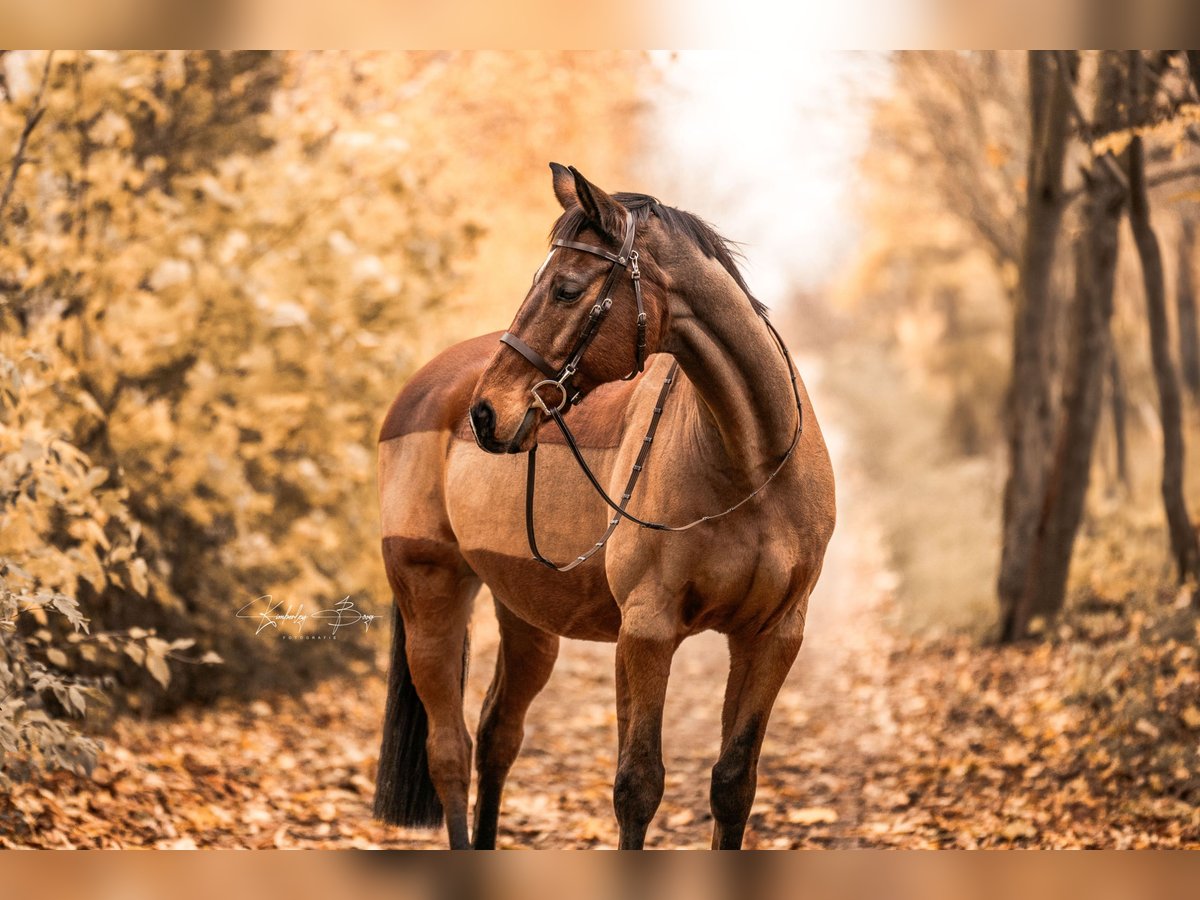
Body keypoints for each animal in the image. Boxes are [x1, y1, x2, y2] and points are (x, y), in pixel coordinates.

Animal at [374, 164, 835, 854]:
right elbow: (637, 785)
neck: (750, 463)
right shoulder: (647, 631)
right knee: (449, 752)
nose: (486, 414)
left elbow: (733, 785)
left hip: (524, 613)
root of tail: (425, 388)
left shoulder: (774, 635)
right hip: (431, 593)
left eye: (566, 290)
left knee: (496, 737)